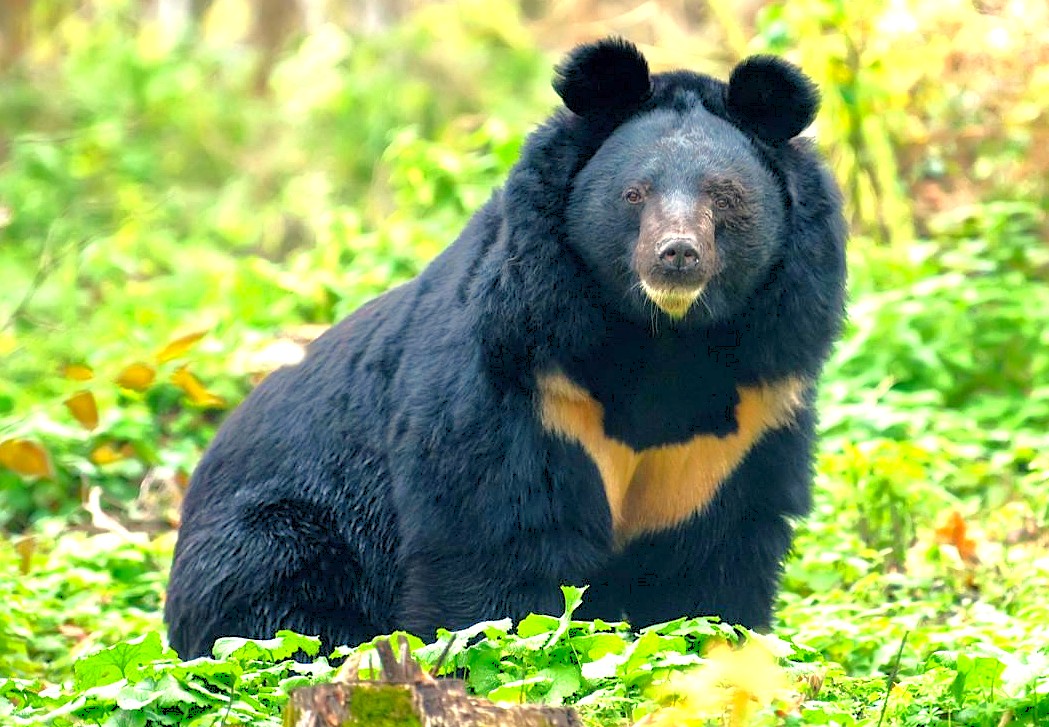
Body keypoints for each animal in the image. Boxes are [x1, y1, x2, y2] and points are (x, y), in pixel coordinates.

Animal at [165, 37, 847, 659]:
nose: (676, 254)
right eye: (635, 194)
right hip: (283, 528)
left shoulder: (743, 423)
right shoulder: (524, 382)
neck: (666, 341)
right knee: (274, 604)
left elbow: (713, 559)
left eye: (724, 196)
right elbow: (496, 537)